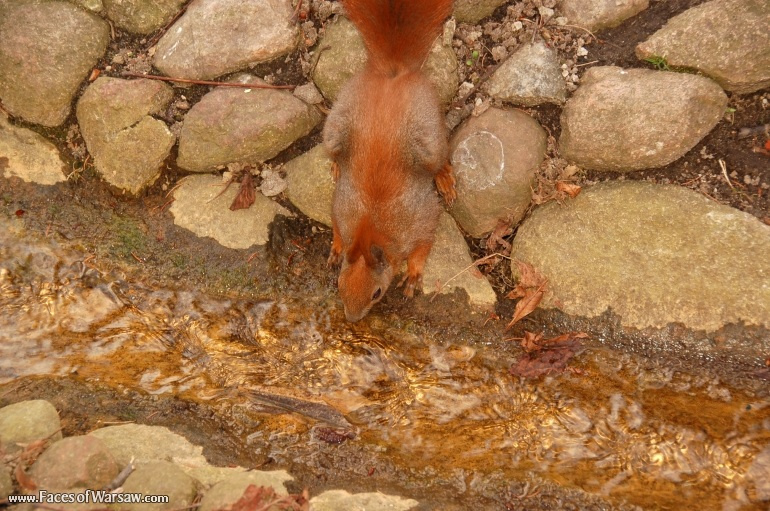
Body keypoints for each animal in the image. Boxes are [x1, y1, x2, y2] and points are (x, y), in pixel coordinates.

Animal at [323, 0, 457, 322]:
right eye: (339, 285)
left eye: (377, 293)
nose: (352, 319)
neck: (369, 228)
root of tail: (392, 74)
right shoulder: (341, 208)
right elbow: (336, 227)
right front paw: (336, 247)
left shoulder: (420, 220)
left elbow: (424, 244)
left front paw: (413, 275)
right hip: (334, 126)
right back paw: (335, 164)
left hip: (429, 139)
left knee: (439, 157)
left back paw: (444, 177)